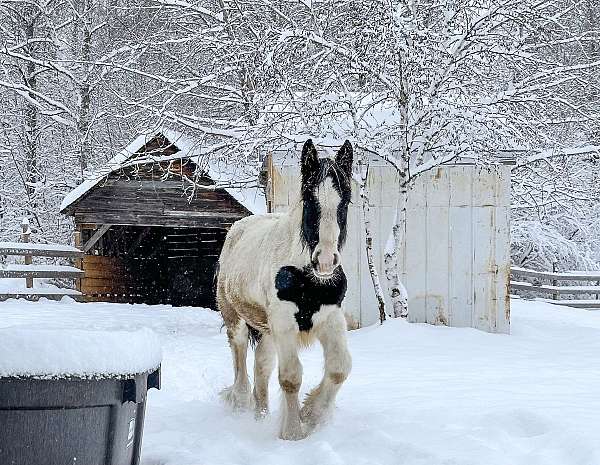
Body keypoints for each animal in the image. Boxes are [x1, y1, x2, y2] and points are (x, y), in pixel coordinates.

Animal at [217, 138, 354, 438]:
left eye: (346, 201)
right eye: (310, 199)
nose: (325, 260)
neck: (308, 279)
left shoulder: (331, 319)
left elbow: (340, 368)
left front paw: (312, 414)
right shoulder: (284, 323)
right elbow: (291, 376)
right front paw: (293, 432)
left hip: (267, 330)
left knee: (261, 366)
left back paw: (261, 415)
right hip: (236, 318)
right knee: (240, 356)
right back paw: (241, 402)